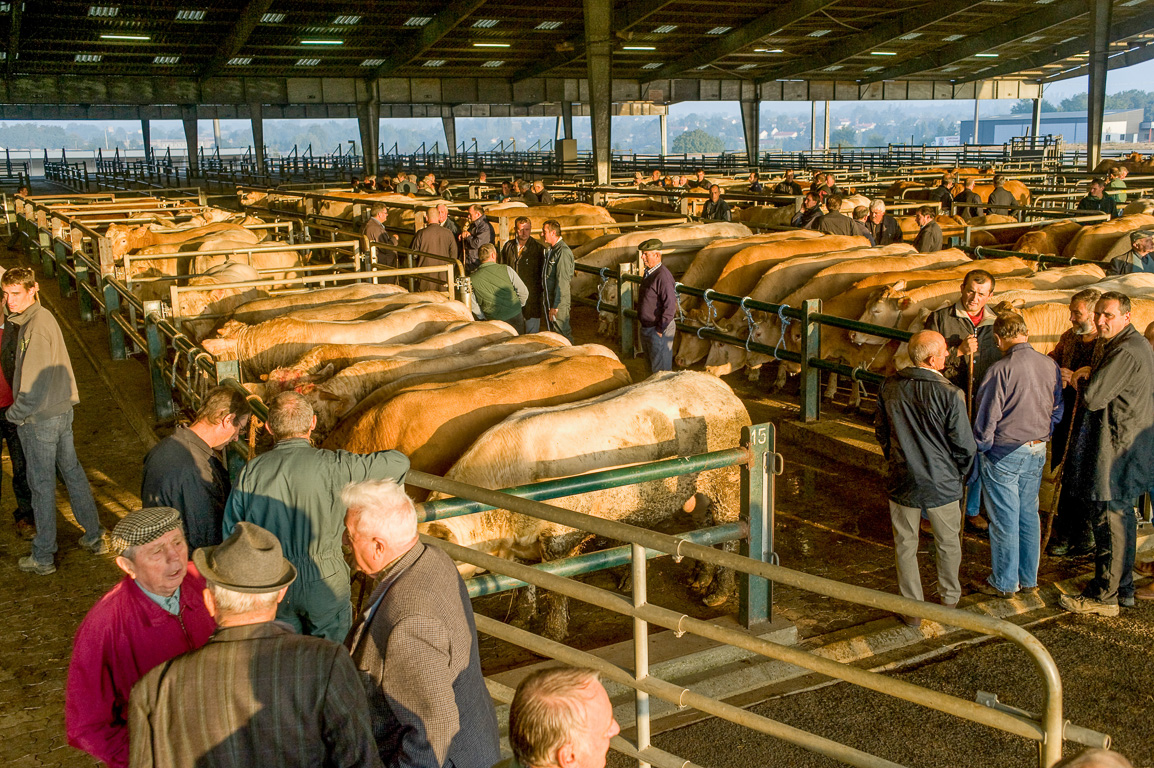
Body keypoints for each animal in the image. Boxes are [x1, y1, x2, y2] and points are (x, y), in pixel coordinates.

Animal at [420, 369, 752, 636]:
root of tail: (719, 385)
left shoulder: (559, 538)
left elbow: (556, 584)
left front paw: (553, 632)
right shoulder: (519, 545)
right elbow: (524, 581)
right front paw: (519, 621)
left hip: (727, 480)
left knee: (729, 531)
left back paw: (716, 595)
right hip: (698, 492)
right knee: (706, 527)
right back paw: (698, 580)